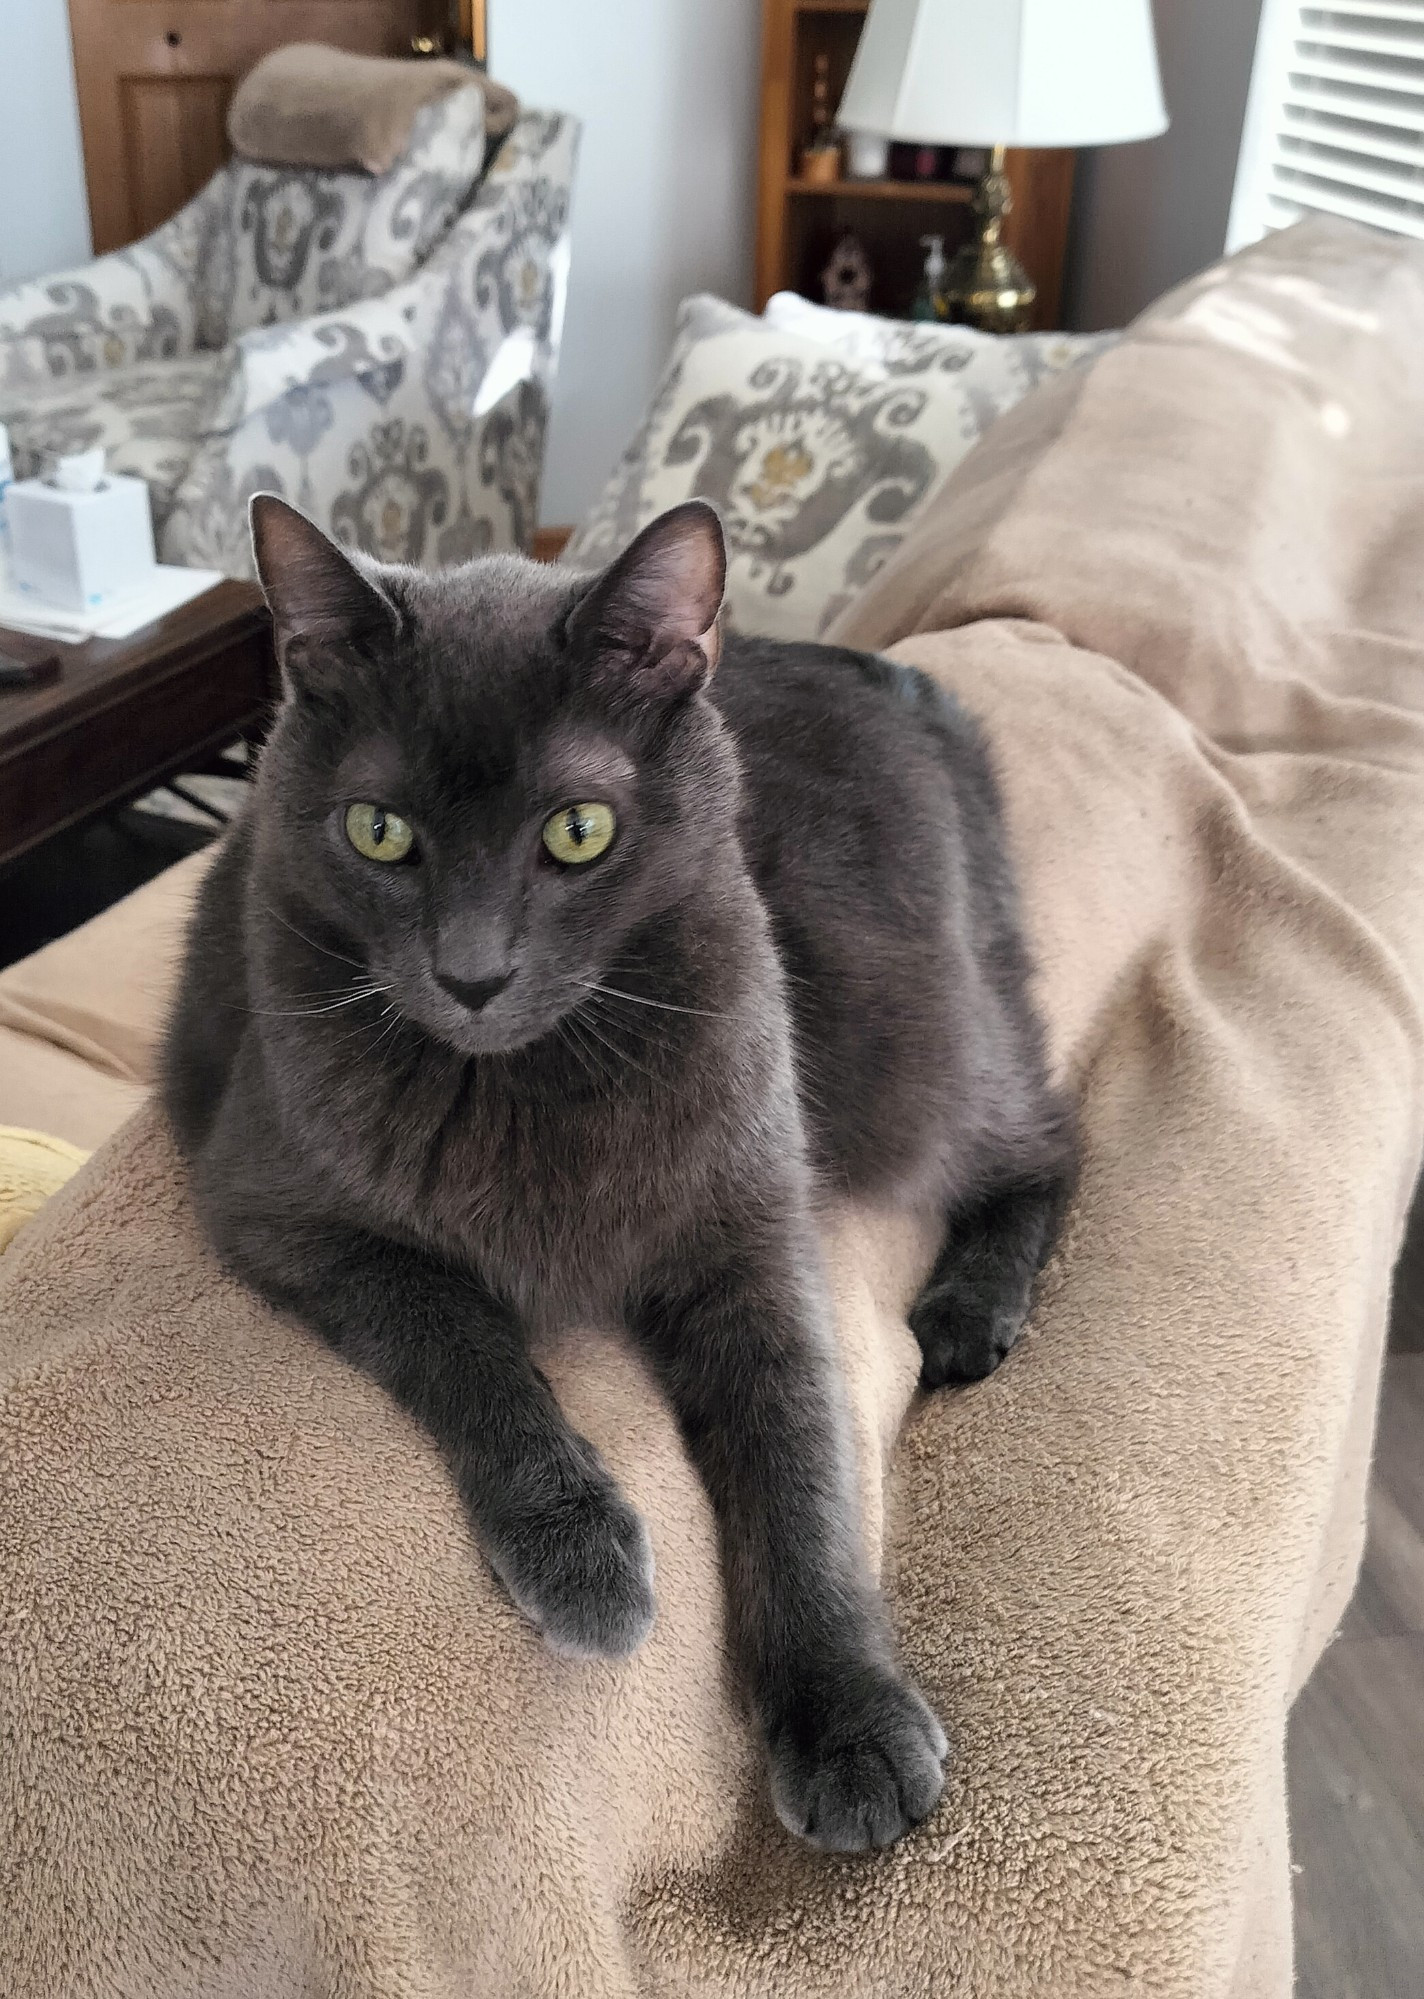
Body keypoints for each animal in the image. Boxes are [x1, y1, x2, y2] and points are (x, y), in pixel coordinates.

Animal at [161, 495, 1072, 1855]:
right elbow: (457, 1332)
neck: (522, 1080)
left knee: (1052, 1132)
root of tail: (890, 675)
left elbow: (797, 1452)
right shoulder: (282, 1204)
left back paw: (969, 1308)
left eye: (577, 832)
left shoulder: (749, 1221)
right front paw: (580, 1550)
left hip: (902, 1042)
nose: (471, 973)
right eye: (379, 830)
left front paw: (846, 1716)